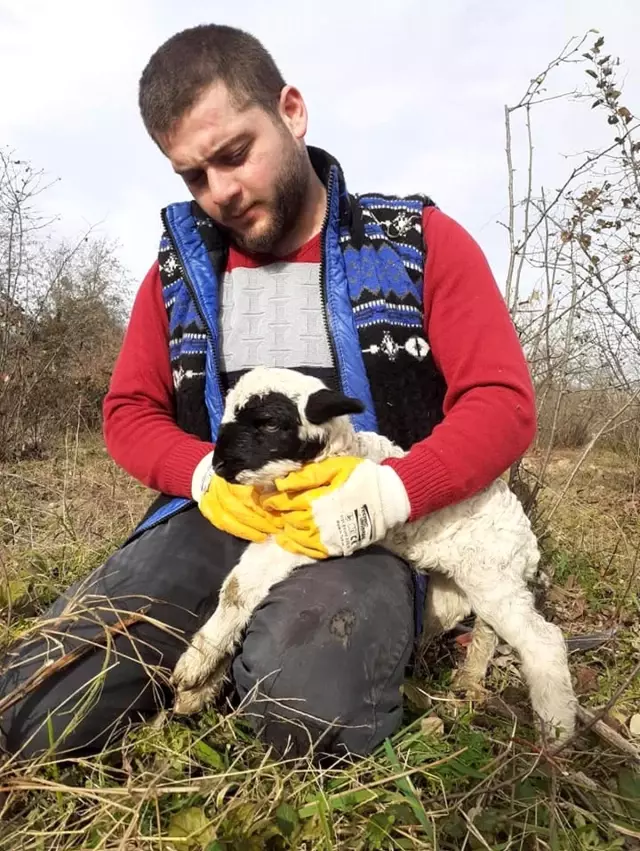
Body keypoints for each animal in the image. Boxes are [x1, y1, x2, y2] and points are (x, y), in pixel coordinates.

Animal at [171, 366, 580, 744]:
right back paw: (468, 680)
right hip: (460, 591)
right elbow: (239, 591)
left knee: (543, 640)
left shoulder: (304, 537)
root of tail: (526, 538)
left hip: (492, 577)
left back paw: (556, 727)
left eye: (269, 422)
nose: (219, 466)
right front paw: (198, 687)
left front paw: (194, 666)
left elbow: (238, 588)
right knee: (487, 632)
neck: (341, 452)